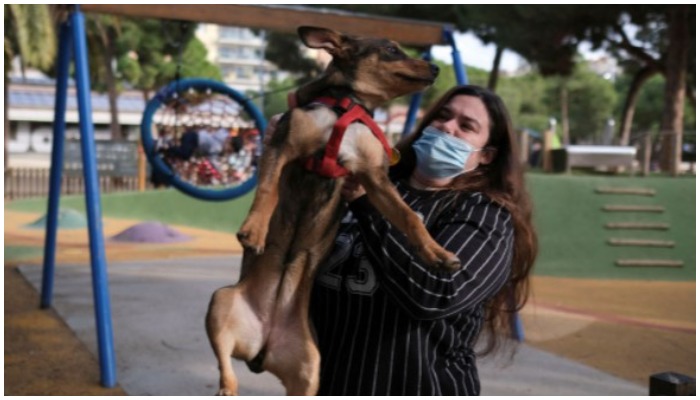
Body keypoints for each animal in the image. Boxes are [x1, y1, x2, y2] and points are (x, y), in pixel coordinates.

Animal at [205, 26, 462, 396]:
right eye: (391, 49)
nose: (436, 68)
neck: (348, 106)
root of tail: (262, 349)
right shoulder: (282, 147)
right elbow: (268, 191)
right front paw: (255, 229)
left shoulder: (374, 179)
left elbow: (409, 218)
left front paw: (437, 254)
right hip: (221, 301)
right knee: (227, 370)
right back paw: (227, 387)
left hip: (310, 372)